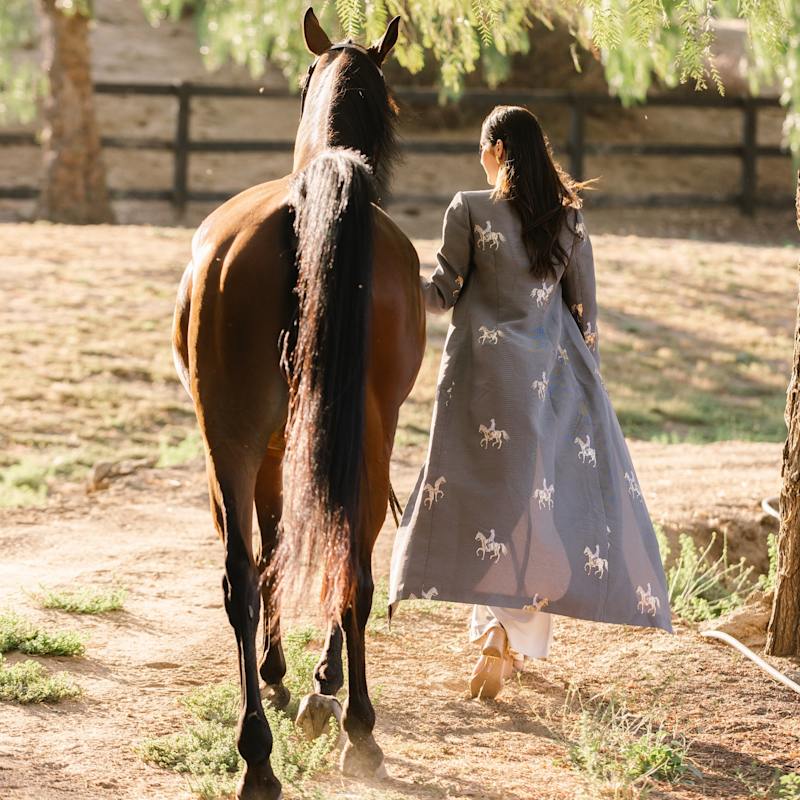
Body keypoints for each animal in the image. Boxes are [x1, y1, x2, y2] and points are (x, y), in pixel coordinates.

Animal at [171, 9, 425, 799]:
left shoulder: (268, 449)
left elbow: (273, 549)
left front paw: (287, 674)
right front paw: (315, 679)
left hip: (236, 439)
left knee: (244, 577)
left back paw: (261, 754)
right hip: (358, 434)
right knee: (346, 565)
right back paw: (354, 729)